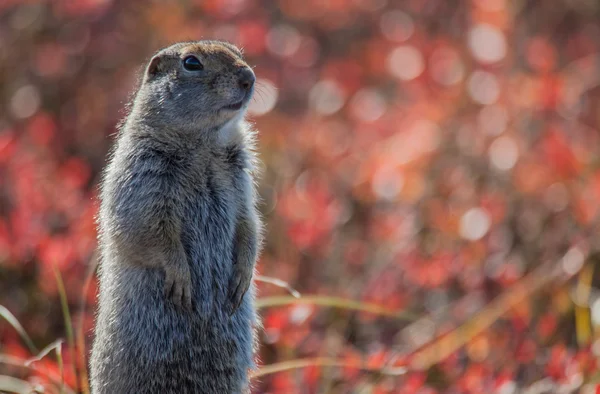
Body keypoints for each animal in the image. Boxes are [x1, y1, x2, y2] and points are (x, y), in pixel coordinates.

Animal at [91, 41, 262, 392]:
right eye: (191, 63)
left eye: (236, 50)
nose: (249, 77)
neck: (205, 145)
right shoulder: (142, 172)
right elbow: (147, 230)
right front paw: (182, 279)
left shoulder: (241, 180)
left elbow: (249, 223)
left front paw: (243, 275)